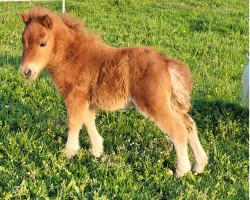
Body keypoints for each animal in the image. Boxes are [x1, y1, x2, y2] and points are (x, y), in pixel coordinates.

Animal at [19, 7, 207, 177]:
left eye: (43, 43)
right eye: (23, 42)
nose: (26, 71)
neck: (73, 57)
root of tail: (166, 62)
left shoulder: (75, 97)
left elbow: (74, 123)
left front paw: (69, 152)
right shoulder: (87, 100)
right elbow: (88, 121)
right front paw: (97, 150)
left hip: (154, 104)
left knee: (178, 130)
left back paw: (182, 171)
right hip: (171, 104)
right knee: (190, 125)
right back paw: (200, 164)